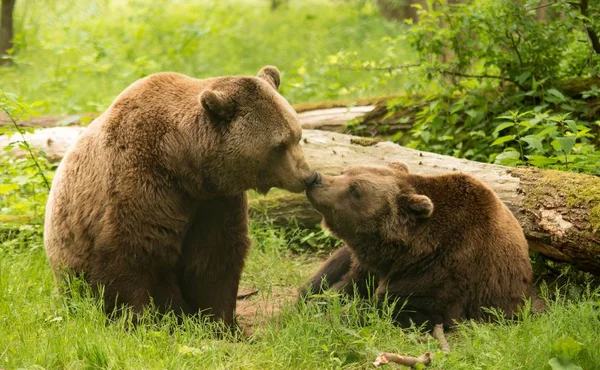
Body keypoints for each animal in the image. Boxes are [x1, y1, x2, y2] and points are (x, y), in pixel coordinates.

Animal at [44, 67, 322, 326]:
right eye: (279, 145)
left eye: (297, 135)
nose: (308, 176)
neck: (182, 162)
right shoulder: (140, 182)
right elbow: (133, 253)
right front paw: (140, 319)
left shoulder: (216, 200)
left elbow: (215, 255)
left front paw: (221, 322)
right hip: (70, 265)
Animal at [302, 162, 532, 330]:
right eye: (345, 172)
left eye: (355, 189)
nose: (315, 178)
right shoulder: (368, 265)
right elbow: (340, 287)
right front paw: (311, 308)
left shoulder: (444, 272)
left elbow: (396, 307)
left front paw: (328, 318)